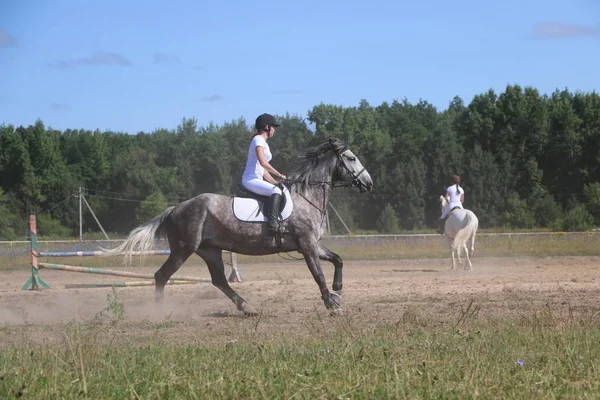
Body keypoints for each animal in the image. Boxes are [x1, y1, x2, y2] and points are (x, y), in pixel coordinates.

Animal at [105, 139, 372, 314]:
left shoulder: (312, 244)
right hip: (183, 249)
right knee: (162, 275)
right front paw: (331, 302)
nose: (369, 183)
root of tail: (175, 208)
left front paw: (337, 290)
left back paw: (246, 306)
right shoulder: (306, 244)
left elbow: (337, 259)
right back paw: (159, 312)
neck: (307, 196)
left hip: (210, 250)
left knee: (219, 281)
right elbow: (317, 273)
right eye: (351, 158)